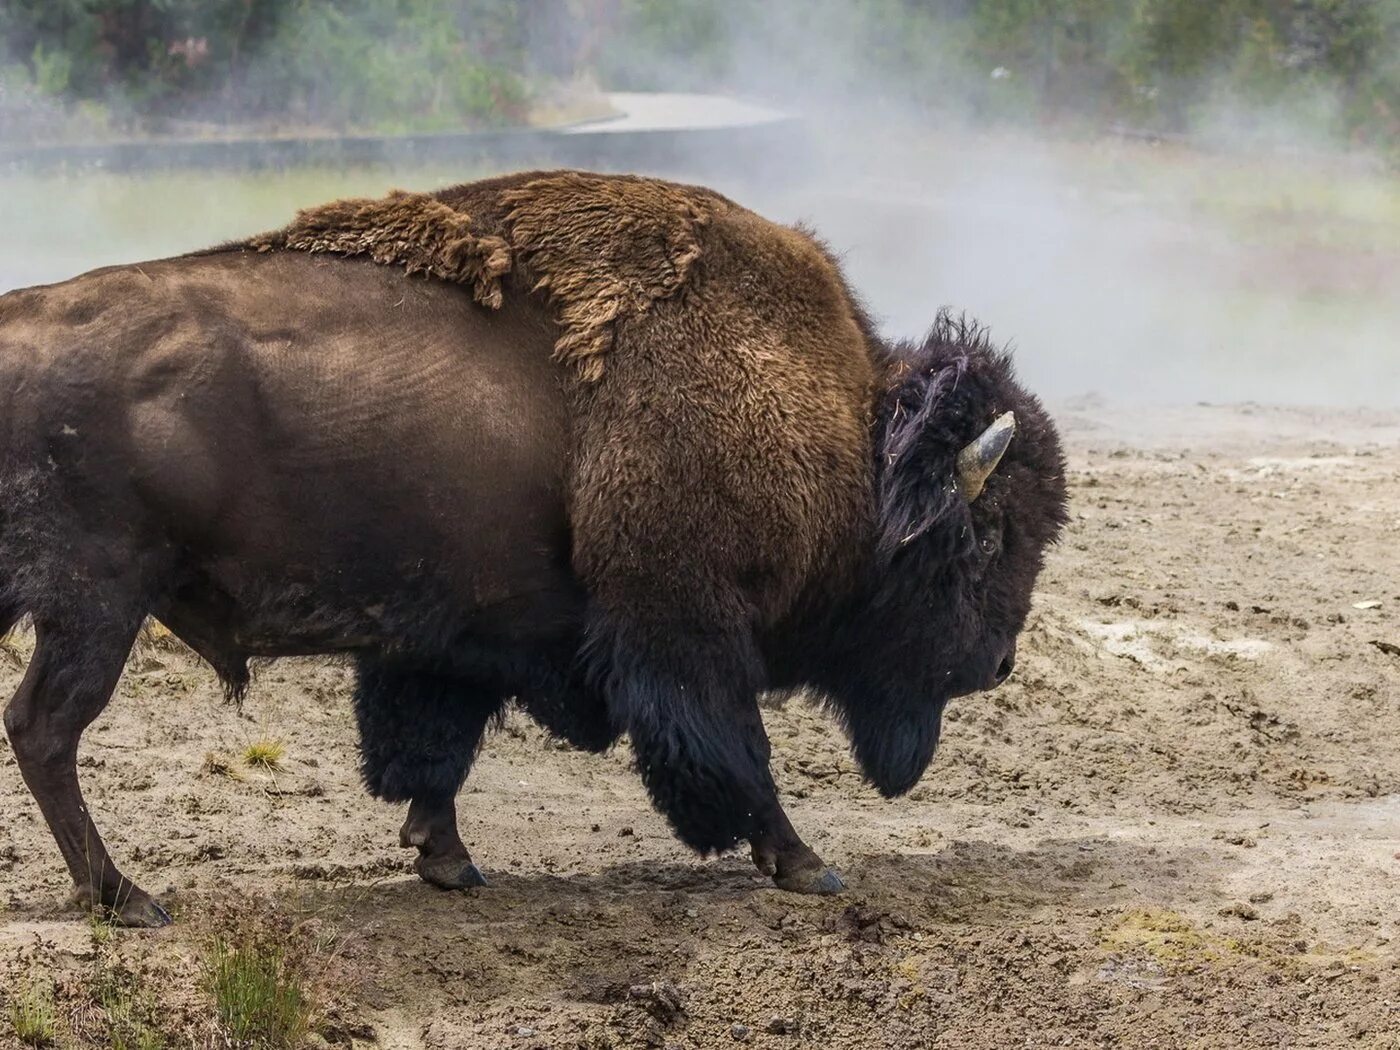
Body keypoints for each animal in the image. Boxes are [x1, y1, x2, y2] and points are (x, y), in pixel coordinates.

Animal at [0, 172, 1064, 929]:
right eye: (990, 535)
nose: (999, 663)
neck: (844, 435)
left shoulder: (448, 641)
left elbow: (433, 749)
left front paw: (448, 861)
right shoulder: (685, 630)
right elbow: (736, 757)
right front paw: (810, 867)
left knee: (39, 730)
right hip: (98, 605)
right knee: (47, 729)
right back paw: (128, 899)